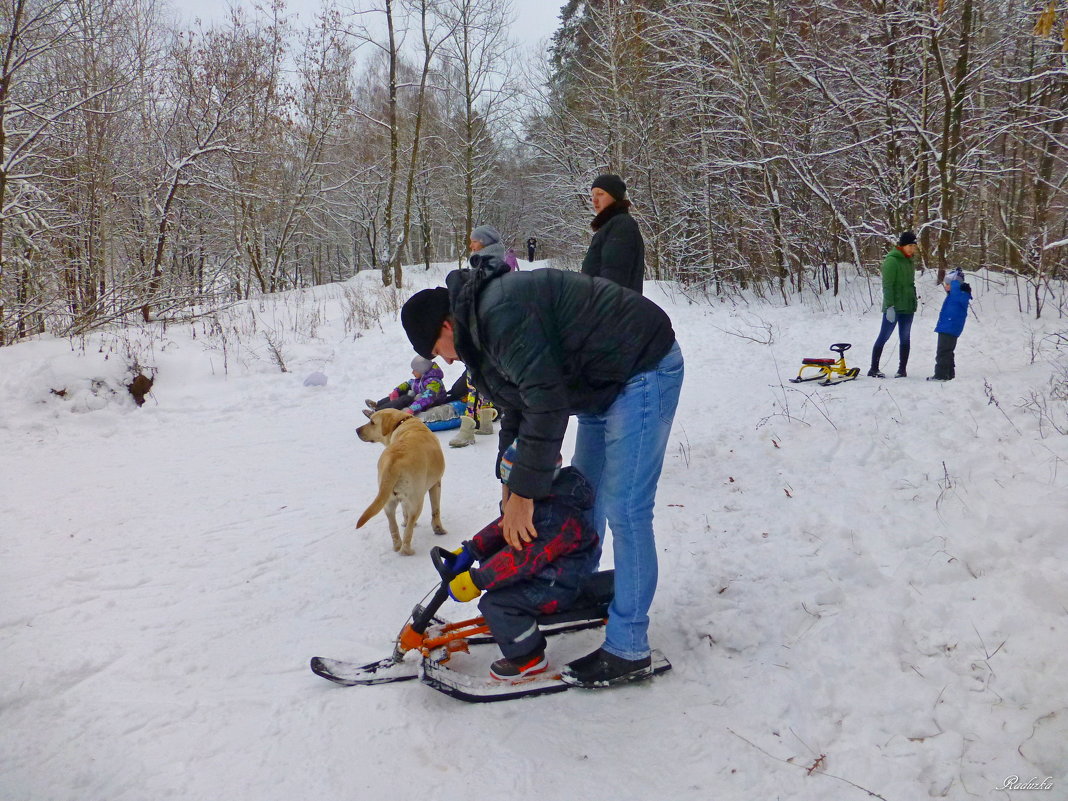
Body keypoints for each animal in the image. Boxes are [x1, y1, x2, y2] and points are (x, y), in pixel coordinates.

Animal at [356, 410, 444, 555]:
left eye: (372, 422)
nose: (356, 430)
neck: (402, 422)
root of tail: (393, 461)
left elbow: (404, 511)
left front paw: (405, 522)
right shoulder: (436, 484)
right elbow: (435, 510)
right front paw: (439, 529)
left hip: (387, 502)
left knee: (393, 527)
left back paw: (397, 545)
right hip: (417, 502)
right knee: (408, 532)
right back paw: (407, 551)